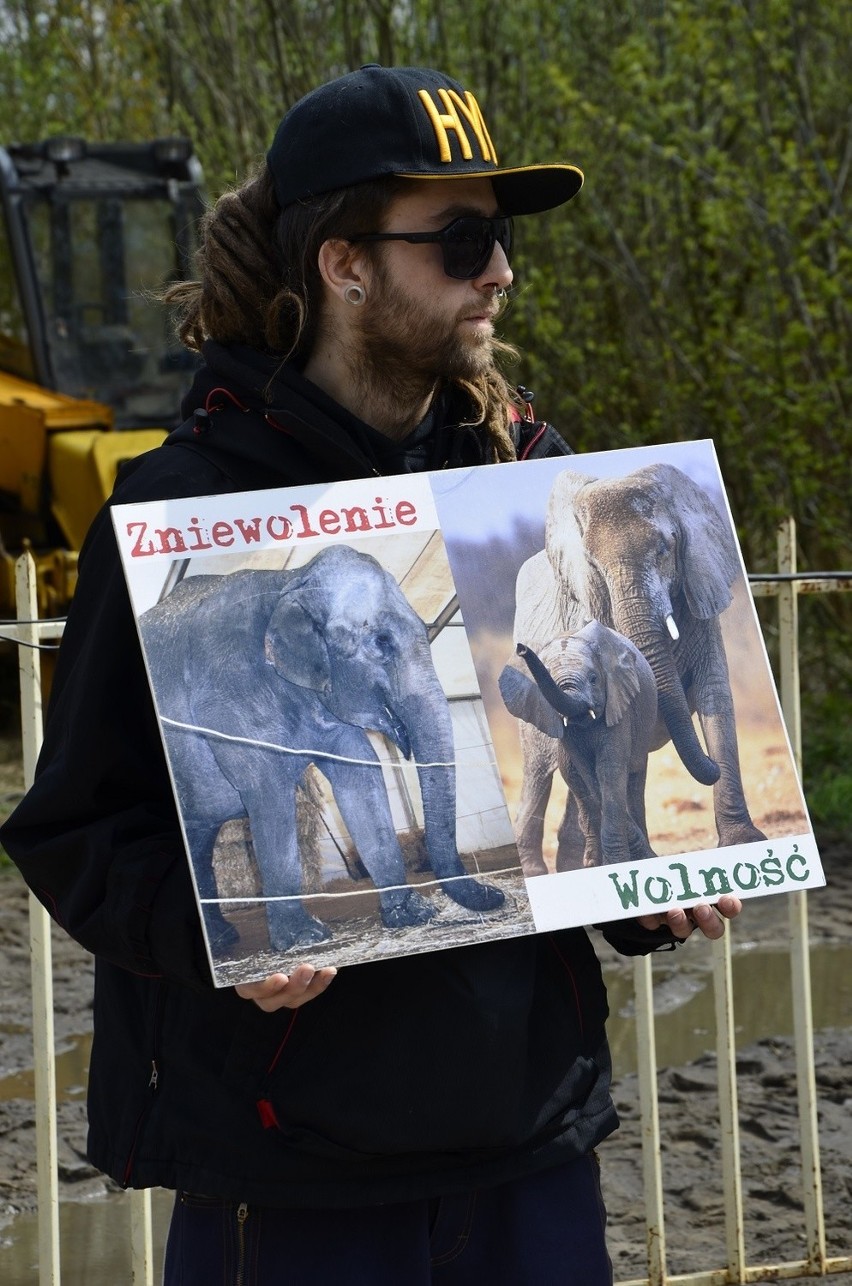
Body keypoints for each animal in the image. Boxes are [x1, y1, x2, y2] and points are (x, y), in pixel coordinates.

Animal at [138, 542, 501, 956]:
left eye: (427, 631)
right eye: (381, 642)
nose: (497, 894)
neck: (290, 582)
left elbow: (360, 774)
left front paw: (412, 913)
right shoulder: (229, 697)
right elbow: (268, 793)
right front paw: (303, 939)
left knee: (199, 839)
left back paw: (221, 938)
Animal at [501, 617, 657, 869]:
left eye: (594, 679)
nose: (521, 648)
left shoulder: (619, 705)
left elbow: (608, 770)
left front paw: (623, 861)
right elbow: (587, 772)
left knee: (634, 779)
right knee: (577, 784)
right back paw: (593, 862)